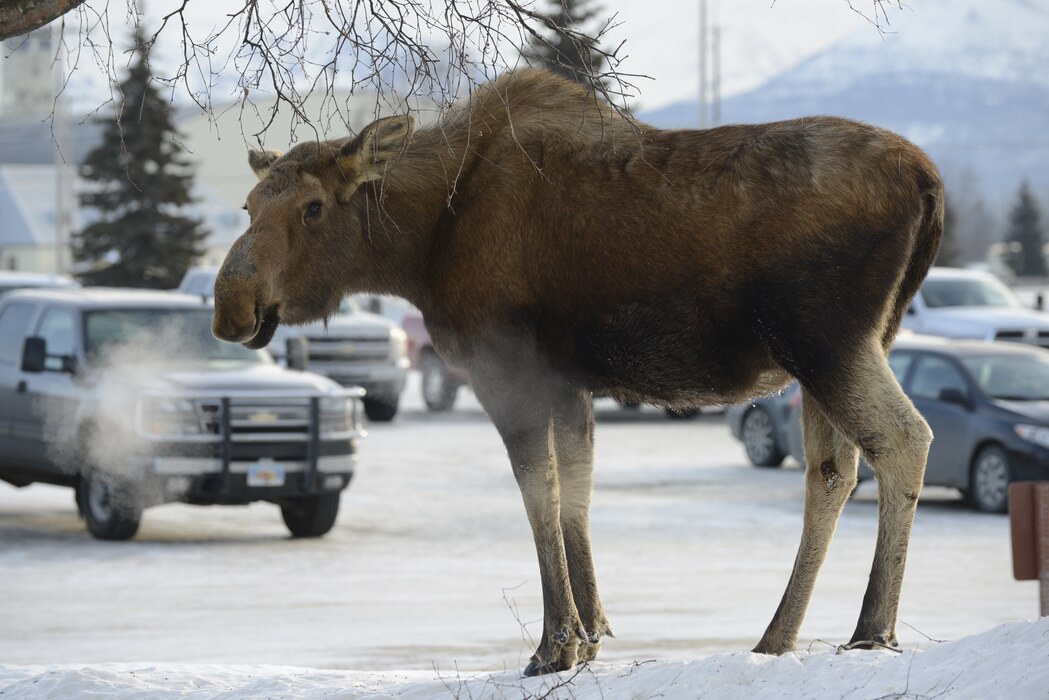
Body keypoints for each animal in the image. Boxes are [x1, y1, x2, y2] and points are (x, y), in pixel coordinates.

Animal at [212, 69, 943, 676]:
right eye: (247, 207)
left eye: (312, 207)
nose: (230, 305)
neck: (419, 246)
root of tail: (928, 180)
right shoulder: (566, 380)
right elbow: (577, 491)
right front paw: (591, 634)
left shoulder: (506, 367)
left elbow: (539, 491)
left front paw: (554, 645)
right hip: (839, 346)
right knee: (832, 471)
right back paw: (776, 637)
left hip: (822, 338)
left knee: (902, 438)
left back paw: (871, 629)